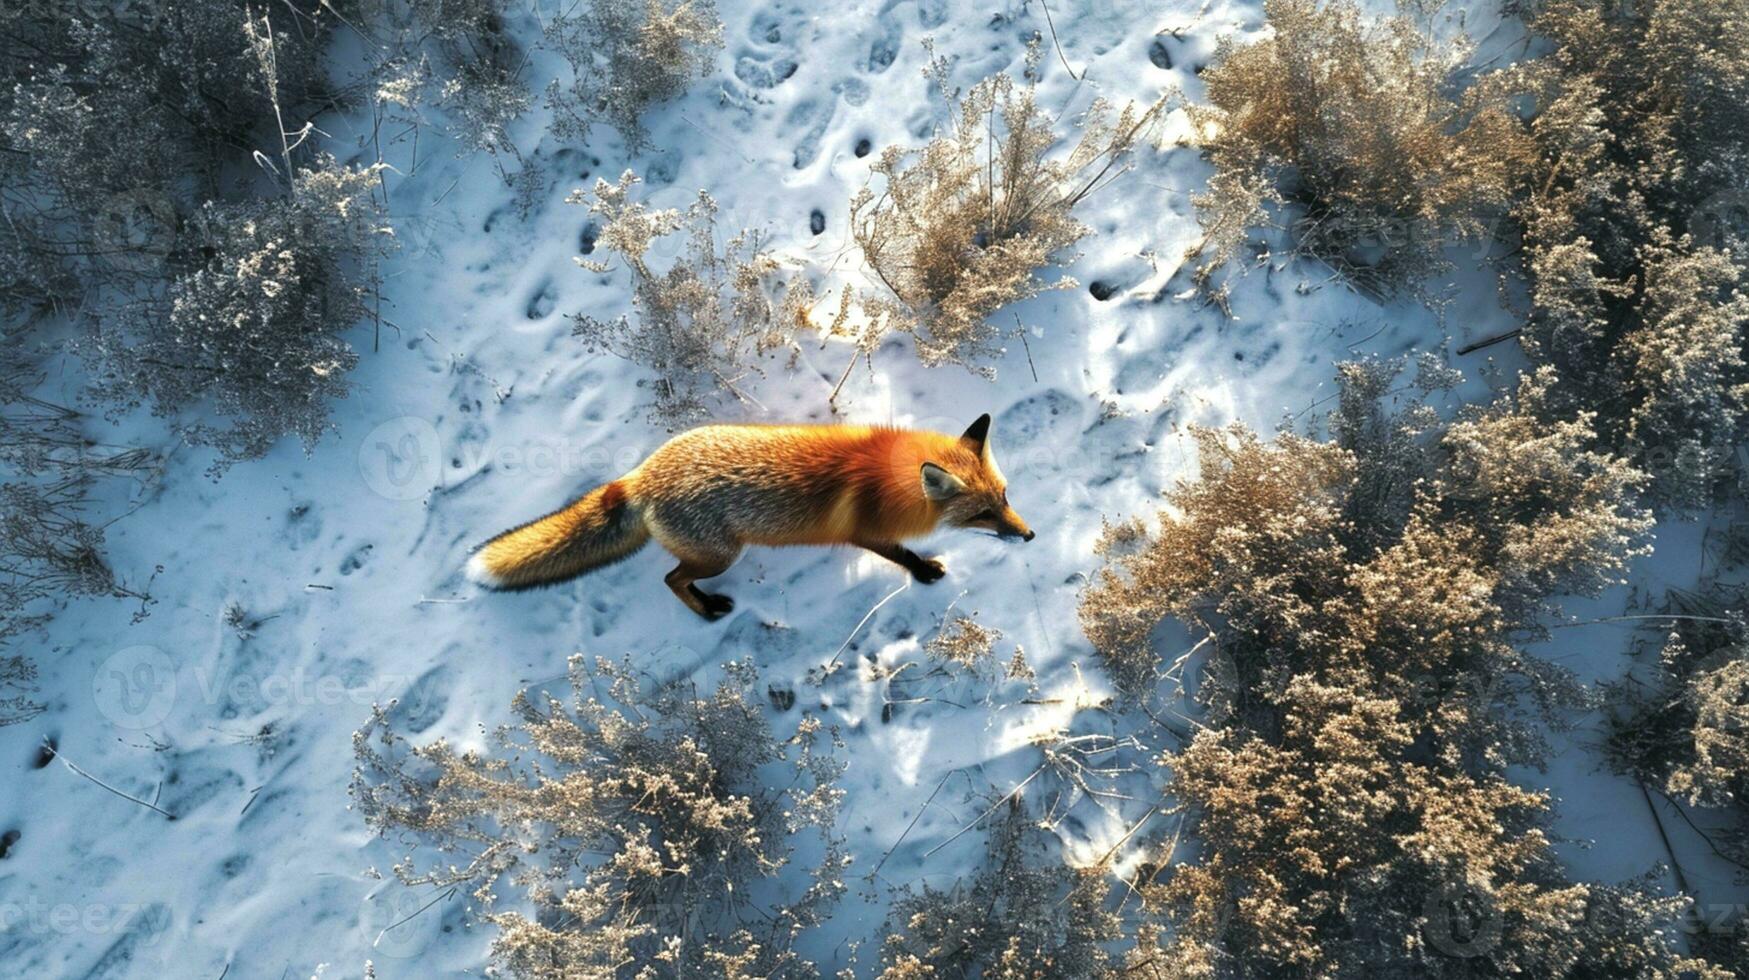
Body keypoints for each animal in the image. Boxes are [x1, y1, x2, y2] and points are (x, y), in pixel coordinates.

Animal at [472, 414, 1028, 619]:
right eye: (983, 514)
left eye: (1005, 497)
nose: (1029, 535)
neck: (886, 483)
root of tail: (639, 478)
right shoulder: (866, 535)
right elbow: (903, 556)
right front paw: (925, 572)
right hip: (720, 555)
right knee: (671, 580)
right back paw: (706, 610)